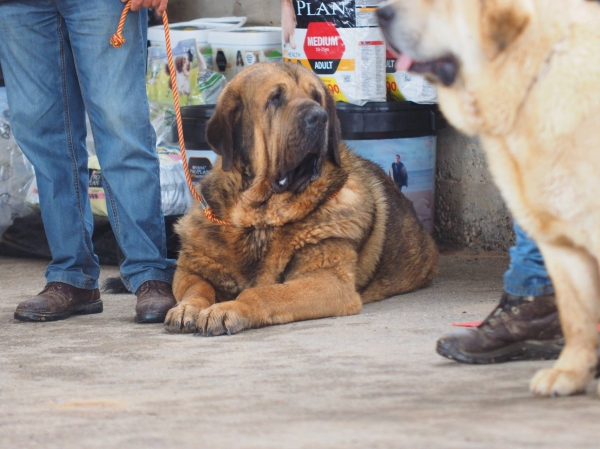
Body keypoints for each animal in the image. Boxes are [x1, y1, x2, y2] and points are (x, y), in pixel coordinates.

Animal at [164, 62, 436, 336]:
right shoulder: (190, 268)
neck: (261, 219)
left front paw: (228, 309)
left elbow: (261, 293)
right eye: (275, 98)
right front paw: (187, 308)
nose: (319, 117)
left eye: (316, 97)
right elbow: (198, 288)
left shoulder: (328, 280)